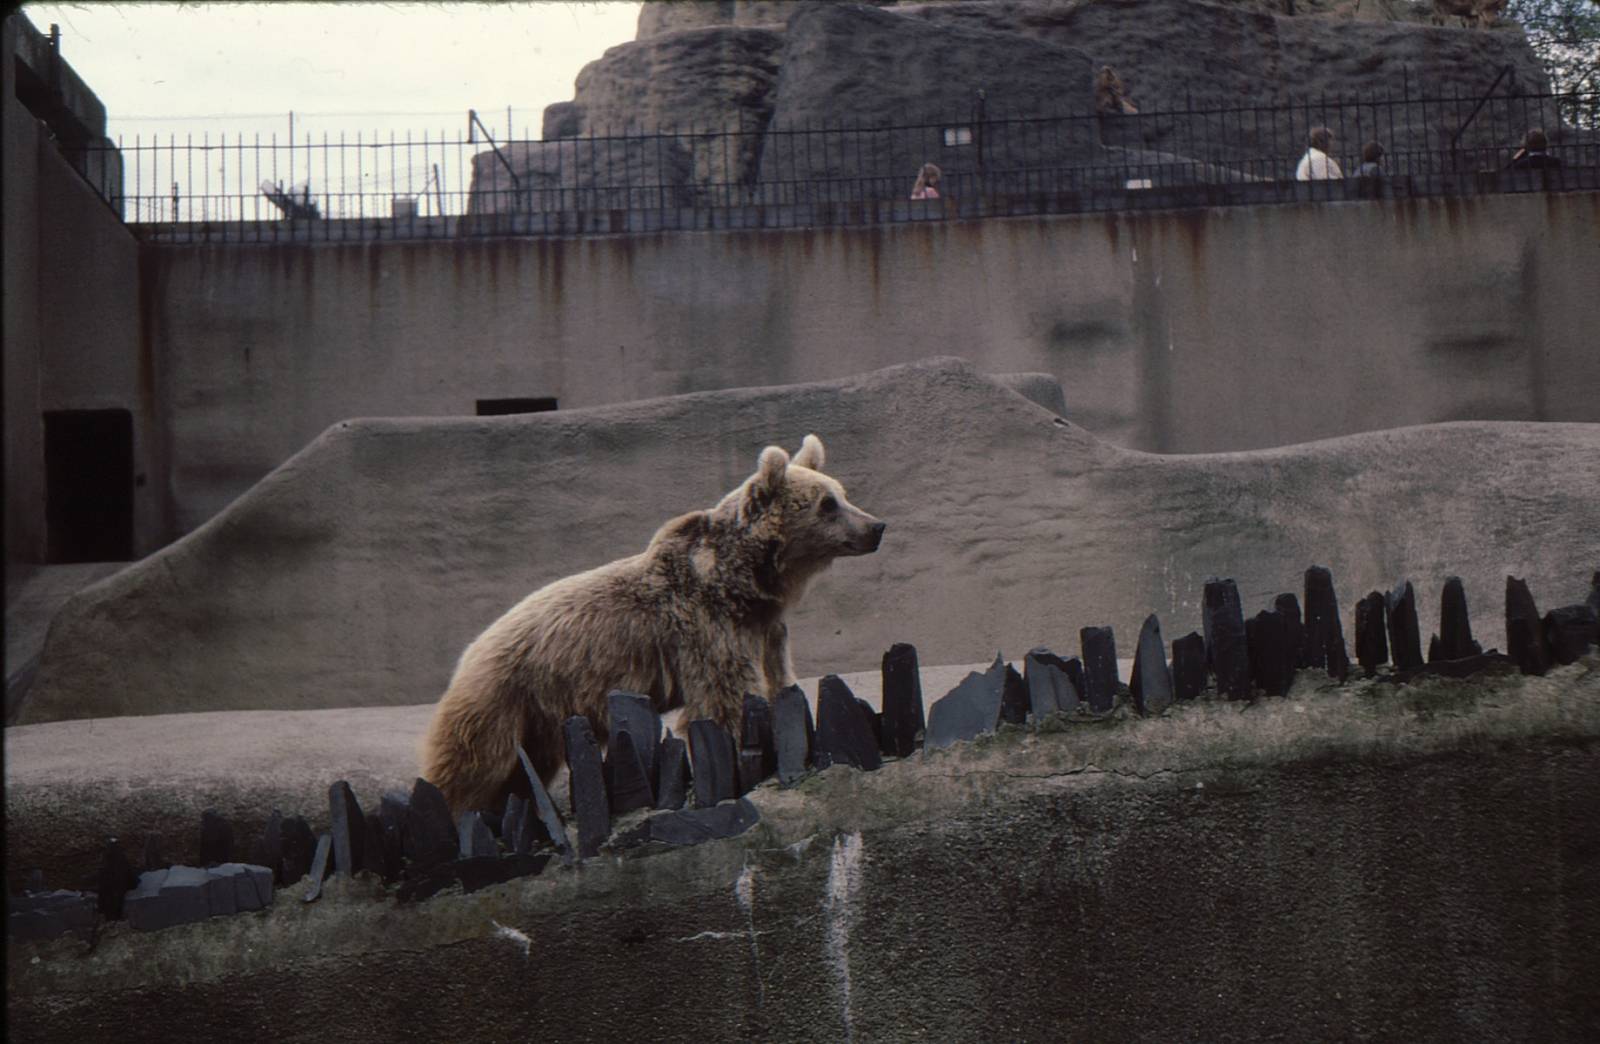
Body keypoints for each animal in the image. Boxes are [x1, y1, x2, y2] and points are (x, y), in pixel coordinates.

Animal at [420, 434, 885, 813]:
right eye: (827, 504)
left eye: (842, 494)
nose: (876, 526)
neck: (744, 582)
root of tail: (469, 651)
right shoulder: (705, 627)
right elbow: (725, 698)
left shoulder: (765, 629)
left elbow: (778, 681)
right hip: (501, 699)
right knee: (472, 766)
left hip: (538, 718)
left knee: (523, 770)